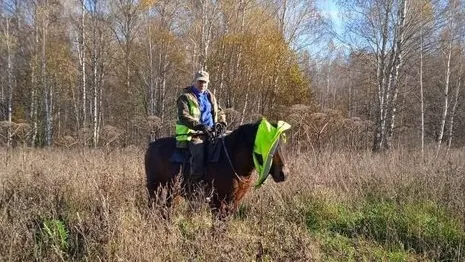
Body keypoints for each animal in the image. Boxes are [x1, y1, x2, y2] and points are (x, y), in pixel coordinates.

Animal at [145, 120, 288, 217]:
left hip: (172, 190)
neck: (232, 159)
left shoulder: (234, 202)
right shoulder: (217, 201)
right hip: (154, 186)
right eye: (269, 144)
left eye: (281, 143)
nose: (284, 173)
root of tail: (152, 145)